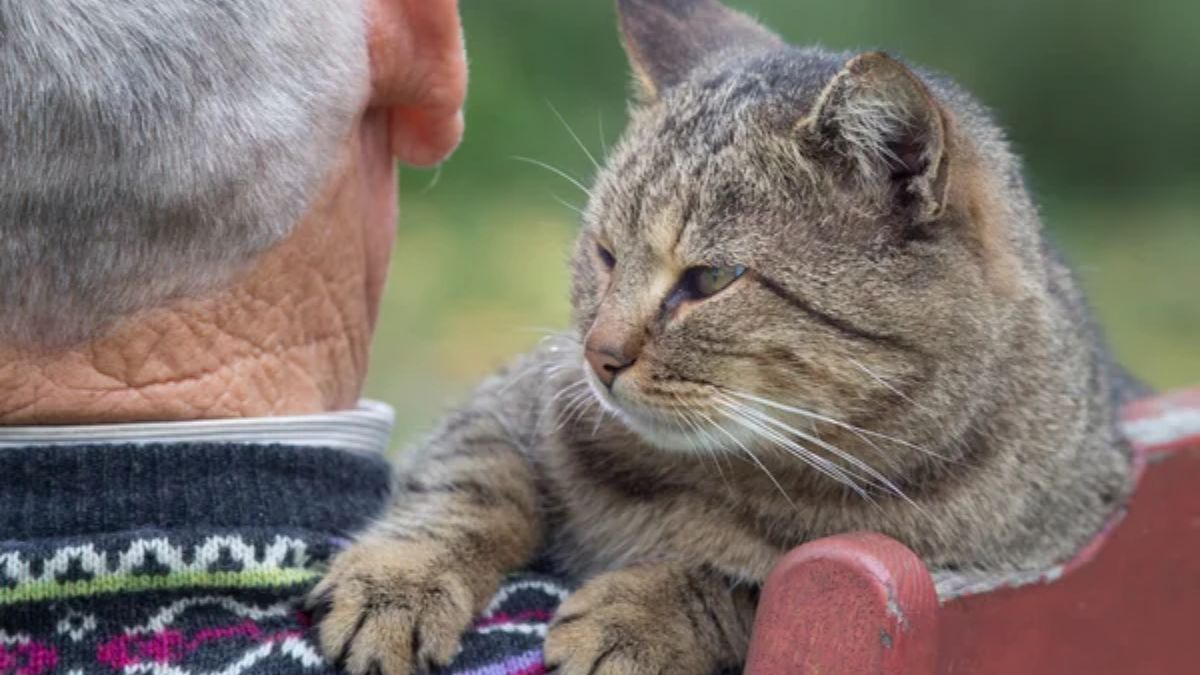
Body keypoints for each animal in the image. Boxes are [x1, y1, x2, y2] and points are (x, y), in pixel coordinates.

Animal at [309, 1, 1132, 672]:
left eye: (710, 279)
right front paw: (397, 582)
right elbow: (470, 483)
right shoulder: (510, 400)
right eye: (606, 253)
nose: (598, 355)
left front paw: (642, 611)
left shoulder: (953, 568)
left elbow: (751, 583)